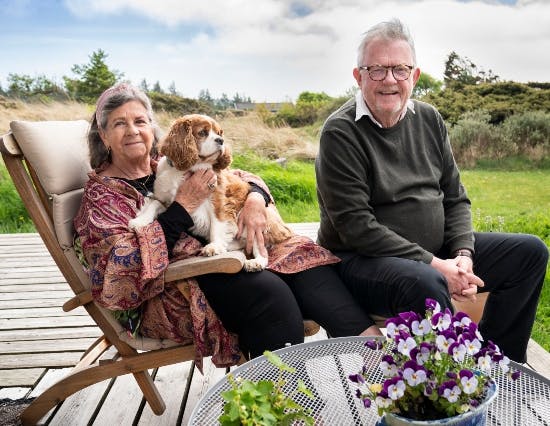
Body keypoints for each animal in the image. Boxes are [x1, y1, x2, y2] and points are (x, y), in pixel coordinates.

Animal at [129, 114, 296, 270]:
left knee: (261, 249)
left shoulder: (218, 201)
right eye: (203, 132)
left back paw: (256, 262)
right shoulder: (166, 200)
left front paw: (214, 246)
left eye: (220, 133)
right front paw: (139, 221)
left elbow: (217, 223)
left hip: (254, 217)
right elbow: (153, 205)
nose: (221, 140)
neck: (188, 169)